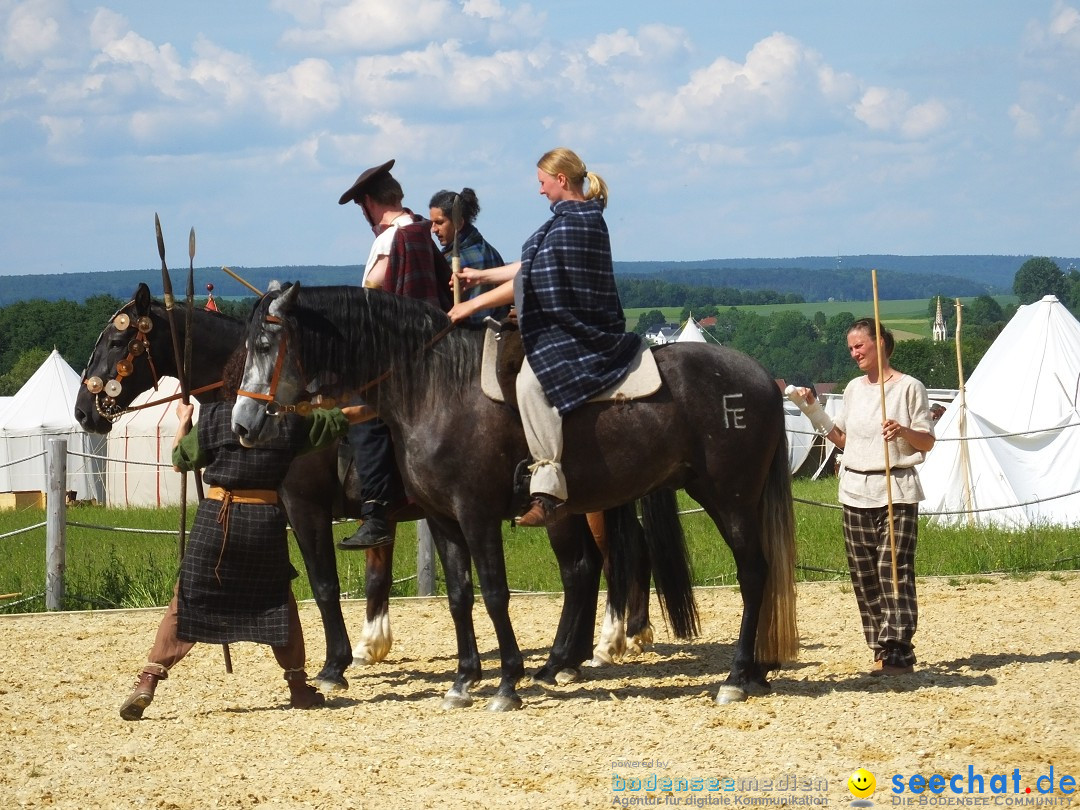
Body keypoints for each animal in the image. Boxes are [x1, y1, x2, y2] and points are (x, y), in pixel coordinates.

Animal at [232, 282, 799, 708]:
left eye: (264, 346)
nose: (244, 423)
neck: (436, 388)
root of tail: (758, 376)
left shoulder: (471, 513)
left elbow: (491, 591)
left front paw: (505, 681)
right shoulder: (443, 518)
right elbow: (460, 595)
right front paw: (464, 679)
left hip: (728, 499)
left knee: (749, 572)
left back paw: (732, 676)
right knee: (595, 569)